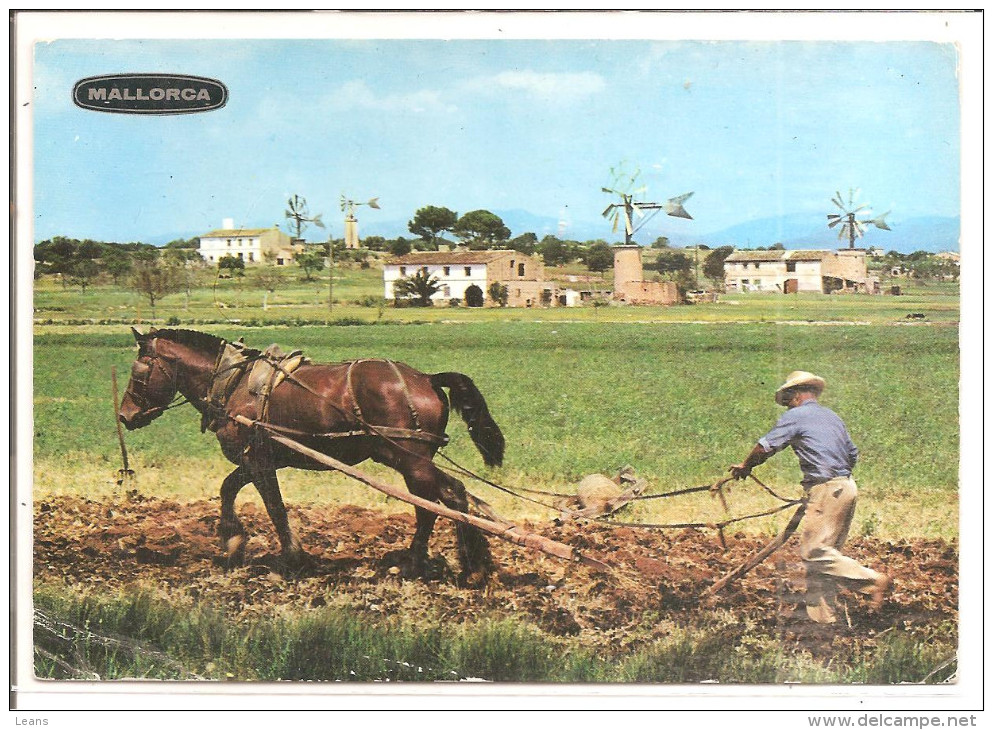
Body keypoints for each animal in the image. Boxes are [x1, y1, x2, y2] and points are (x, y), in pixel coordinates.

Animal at [117, 328, 504, 584]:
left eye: (138, 371)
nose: (124, 415)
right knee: (454, 494)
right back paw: (472, 566)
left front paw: (292, 558)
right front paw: (233, 543)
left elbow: (274, 506)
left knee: (430, 506)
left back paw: (413, 564)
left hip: (409, 460)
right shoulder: (257, 460)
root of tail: (426, 378)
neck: (234, 383)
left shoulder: (258, 461)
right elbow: (228, 490)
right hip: (410, 459)